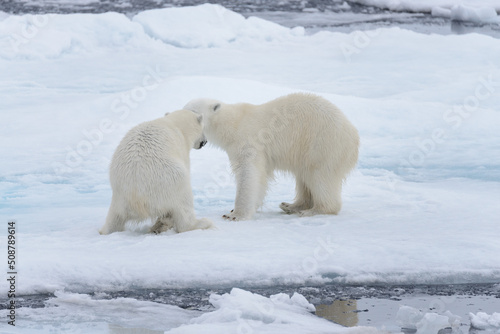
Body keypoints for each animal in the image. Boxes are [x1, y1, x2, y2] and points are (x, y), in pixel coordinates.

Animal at [184, 92, 360, 220]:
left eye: (194, 111)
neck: (232, 125)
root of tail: (354, 135)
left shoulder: (249, 142)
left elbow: (249, 174)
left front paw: (234, 214)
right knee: (303, 178)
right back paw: (290, 205)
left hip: (322, 145)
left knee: (319, 177)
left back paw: (313, 210)